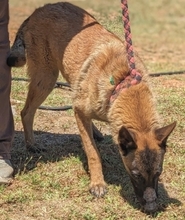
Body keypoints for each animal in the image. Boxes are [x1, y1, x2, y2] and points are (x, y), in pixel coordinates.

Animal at [7, 2, 176, 213]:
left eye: (158, 173)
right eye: (136, 173)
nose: (152, 208)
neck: (123, 84)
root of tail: (40, 9)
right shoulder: (79, 110)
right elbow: (92, 152)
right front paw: (97, 183)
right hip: (46, 79)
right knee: (26, 112)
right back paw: (31, 144)